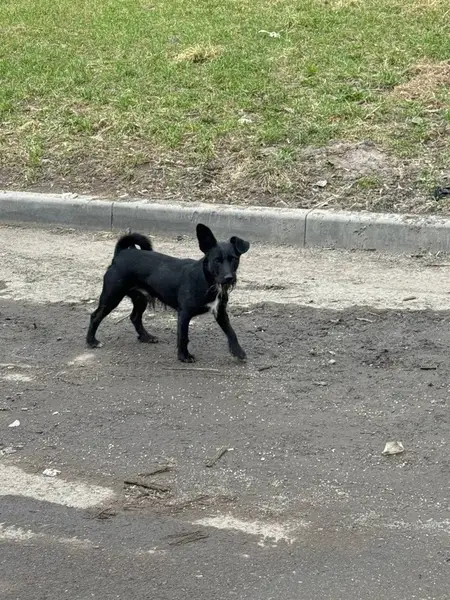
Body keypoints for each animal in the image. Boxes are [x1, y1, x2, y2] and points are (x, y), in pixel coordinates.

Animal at [87, 224, 250, 362]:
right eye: (217, 260)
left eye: (234, 259)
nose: (229, 278)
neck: (207, 280)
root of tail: (121, 254)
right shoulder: (184, 314)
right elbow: (183, 336)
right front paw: (184, 356)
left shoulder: (220, 312)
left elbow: (231, 332)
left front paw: (237, 351)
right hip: (112, 296)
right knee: (95, 316)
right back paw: (91, 341)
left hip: (141, 298)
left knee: (135, 317)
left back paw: (146, 337)